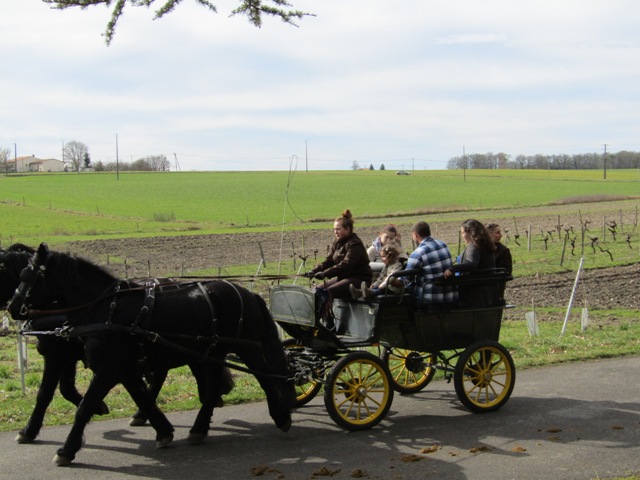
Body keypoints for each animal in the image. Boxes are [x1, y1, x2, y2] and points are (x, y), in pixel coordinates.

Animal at [8, 243, 295, 466]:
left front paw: (65, 450)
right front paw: (163, 430)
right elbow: (142, 397)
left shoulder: (106, 369)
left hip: (246, 347)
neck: (107, 308)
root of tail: (248, 293)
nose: (12, 307)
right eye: (19, 274)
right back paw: (199, 428)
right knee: (213, 386)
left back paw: (281, 417)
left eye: (28, 276)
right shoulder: (122, 368)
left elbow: (83, 407)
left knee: (265, 378)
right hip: (212, 350)